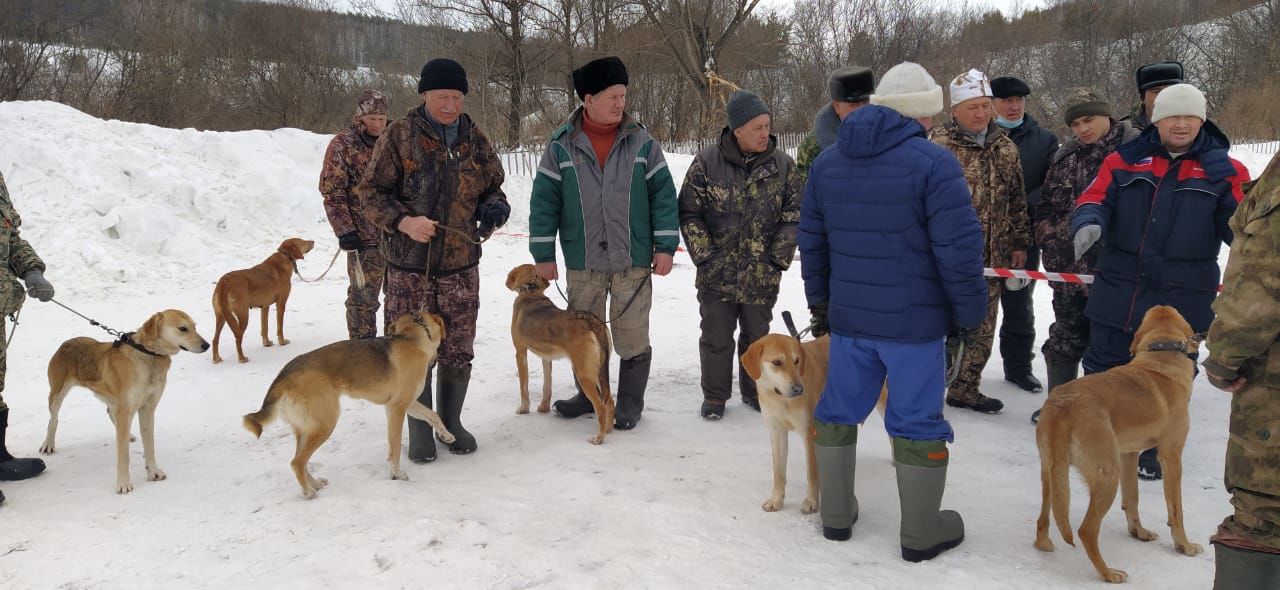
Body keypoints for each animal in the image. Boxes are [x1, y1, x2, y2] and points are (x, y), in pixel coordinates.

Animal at [38, 308, 208, 491]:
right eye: (183, 328)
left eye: (195, 326)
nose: (207, 345)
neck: (149, 355)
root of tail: (66, 343)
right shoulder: (126, 409)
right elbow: (123, 455)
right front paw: (123, 483)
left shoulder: (147, 408)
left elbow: (150, 446)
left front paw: (153, 472)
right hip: (57, 395)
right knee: (53, 419)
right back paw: (48, 444)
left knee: (109, 412)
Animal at [241, 308, 458, 496]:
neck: (413, 337)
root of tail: (285, 373)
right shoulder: (398, 408)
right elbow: (395, 446)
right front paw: (397, 474)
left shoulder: (407, 404)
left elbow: (433, 415)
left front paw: (446, 435)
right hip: (325, 424)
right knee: (296, 462)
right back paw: (309, 492)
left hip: (307, 429)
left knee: (300, 460)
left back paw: (315, 483)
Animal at [504, 262, 614, 440]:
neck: (531, 290)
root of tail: (592, 322)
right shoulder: (546, 357)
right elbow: (547, 386)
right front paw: (543, 408)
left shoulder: (520, 353)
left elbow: (524, 387)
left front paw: (524, 409)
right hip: (598, 370)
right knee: (609, 401)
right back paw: (609, 430)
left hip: (584, 373)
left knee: (601, 406)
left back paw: (599, 438)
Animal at [742, 332, 890, 511]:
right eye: (777, 362)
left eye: (797, 361)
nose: (799, 389)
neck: (780, 399)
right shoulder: (777, 432)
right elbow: (778, 473)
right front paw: (776, 500)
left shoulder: (809, 432)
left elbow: (811, 473)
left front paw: (812, 501)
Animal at [1034, 305, 1203, 581]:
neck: (1161, 355)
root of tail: (1063, 406)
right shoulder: (1171, 457)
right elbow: (1176, 510)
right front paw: (1184, 546)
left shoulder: (1129, 455)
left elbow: (1132, 498)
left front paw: (1138, 532)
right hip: (1107, 476)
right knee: (1086, 531)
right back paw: (1108, 573)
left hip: (1052, 473)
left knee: (1044, 518)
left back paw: (1043, 543)